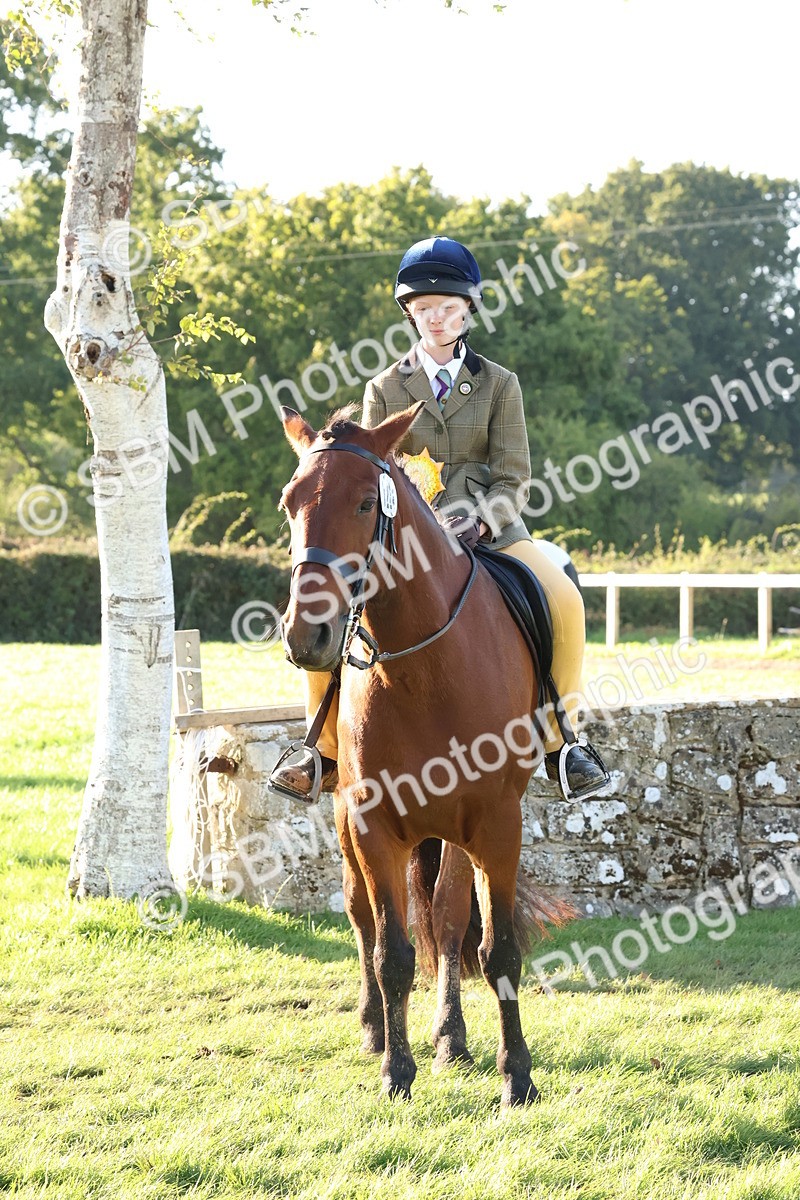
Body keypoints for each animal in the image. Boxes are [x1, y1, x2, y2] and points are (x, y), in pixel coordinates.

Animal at [278, 401, 570, 1106]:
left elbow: (491, 947)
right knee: (361, 915)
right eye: (288, 504)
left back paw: (450, 1038)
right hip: (343, 814)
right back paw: (375, 1029)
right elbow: (391, 951)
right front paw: (395, 1071)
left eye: (365, 503)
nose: (306, 635)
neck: (426, 667)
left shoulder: (495, 822)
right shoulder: (371, 821)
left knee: (444, 917)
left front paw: (515, 1074)